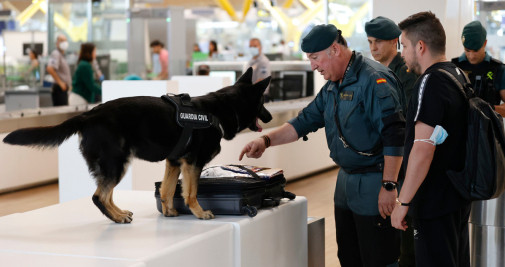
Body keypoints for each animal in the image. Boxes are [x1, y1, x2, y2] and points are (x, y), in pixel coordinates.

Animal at [2, 68, 272, 223]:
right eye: (263, 102)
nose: (270, 117)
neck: (217, 111)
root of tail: (89, 115)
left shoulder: (174, 162)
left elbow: (166, 190)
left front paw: (169, 212)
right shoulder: (192, 163)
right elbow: (191, 192)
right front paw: (199, 212)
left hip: (115, 164)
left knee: (106, 194)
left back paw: (120, 213)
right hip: (117, 163)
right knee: (99, 196)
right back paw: (116, 217)